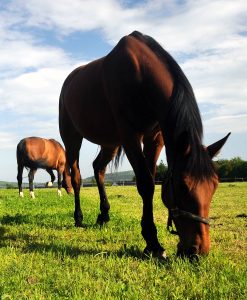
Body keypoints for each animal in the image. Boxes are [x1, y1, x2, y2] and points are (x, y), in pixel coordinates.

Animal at [58, 31, 231, 258]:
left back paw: (104, 215)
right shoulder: (130, 136)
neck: (140, 75)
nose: (197, 251)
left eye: (215, 185)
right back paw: (78, 217)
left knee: (98, 168)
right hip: (72, 139)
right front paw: (153, 243)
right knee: (76, 177)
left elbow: (150, 178)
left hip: (110, 143)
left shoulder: (155, 137)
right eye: (182, 186)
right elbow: (146, 184)